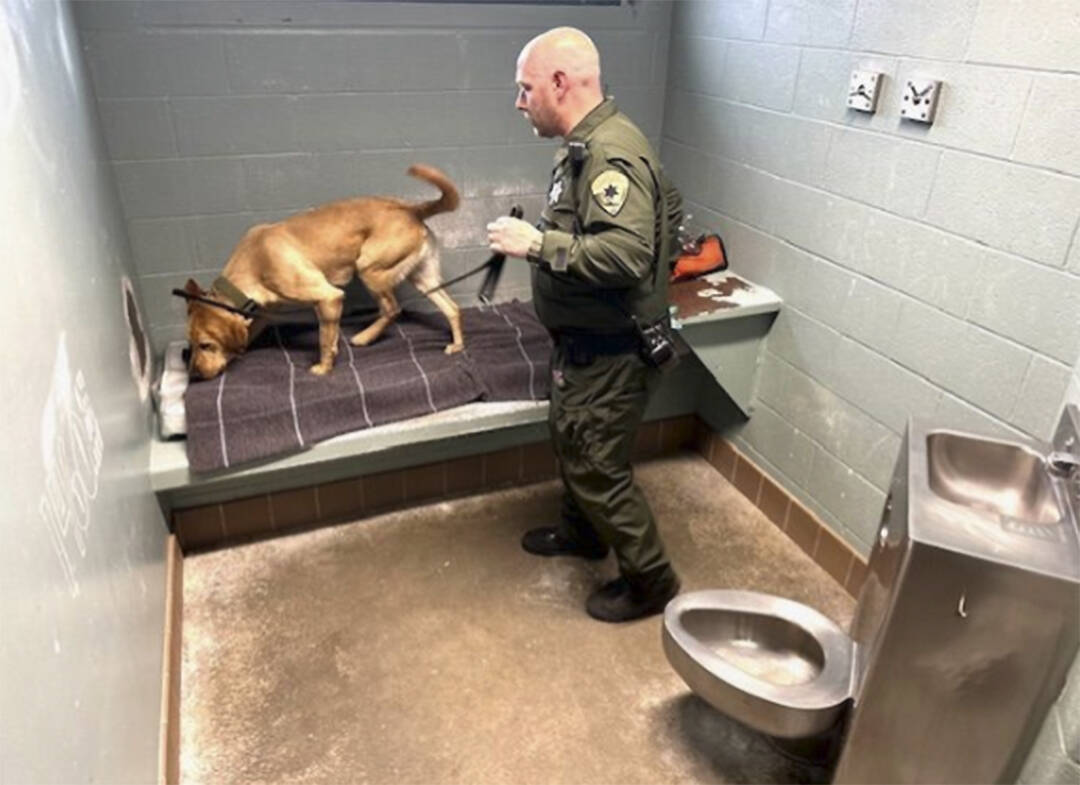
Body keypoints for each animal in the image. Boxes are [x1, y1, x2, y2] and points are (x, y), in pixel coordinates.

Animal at [182, 164, 460, 380]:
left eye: (205, 345)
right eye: (190, 344)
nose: (193, 375)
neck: (252, 263)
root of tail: (412, 209)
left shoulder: (328, 297)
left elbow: (326, 340)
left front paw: (324, 368)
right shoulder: (264, 314)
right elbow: (249, 334)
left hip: (369, 268)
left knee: (392, 308)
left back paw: (365, 337)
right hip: (422, 277)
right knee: (452, 309)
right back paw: (457, 345)